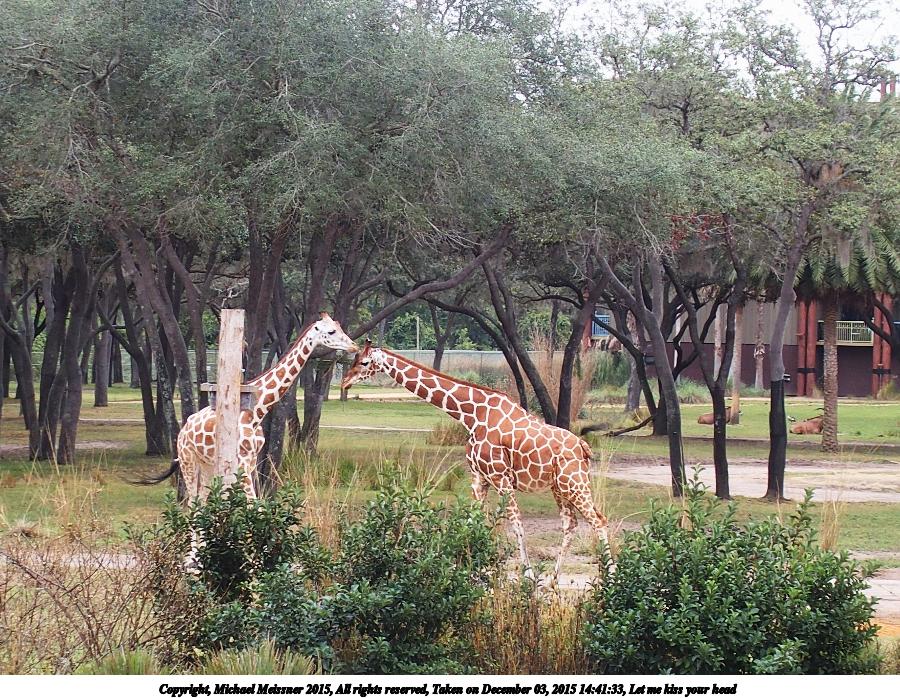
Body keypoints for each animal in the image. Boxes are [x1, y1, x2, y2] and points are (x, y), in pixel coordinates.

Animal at [140, 312, 357, 500]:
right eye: (331, 332)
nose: (354, 347)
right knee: (193, 504)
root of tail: (183, 430)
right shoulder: (241, 462)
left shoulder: (251, 461)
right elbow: (252, 504)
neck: (257, 412)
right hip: (188, 461)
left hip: (207, 464)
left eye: (340, 327)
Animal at [341, 341, 609, 583]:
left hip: (574, 483)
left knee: (599, 521)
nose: (344, 382)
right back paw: (554, 581)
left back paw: (609, 579)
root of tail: (583, 447)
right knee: (571, 524)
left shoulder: (501, 477)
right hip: (559, 487)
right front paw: (462, 569)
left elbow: (517, 524)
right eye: (354, 359)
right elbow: (472, 523)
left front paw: (528, 577)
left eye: (364, 362)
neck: (470, 415)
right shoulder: (479, 478)